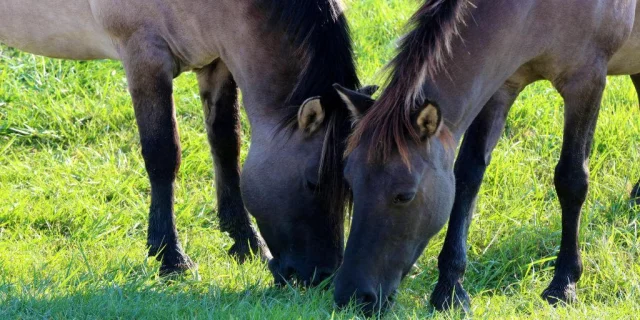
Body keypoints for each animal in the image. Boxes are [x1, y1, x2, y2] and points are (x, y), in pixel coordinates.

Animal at [2, 0, 364, 284]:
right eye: (313, 182)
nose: (321, 275)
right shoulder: (145, 56)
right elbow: (163, 155)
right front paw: (170, 257)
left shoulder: (217, 62)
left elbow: (226, 147)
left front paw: (245, 242)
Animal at [332, 0, 640, 316]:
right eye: (351, 184)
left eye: (404, 196)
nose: (351, 296)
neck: (538, 11)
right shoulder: (500, 85)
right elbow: (468, 177)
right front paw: (450, 288)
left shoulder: (587, 82)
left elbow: (571, 180)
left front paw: (564, 284)